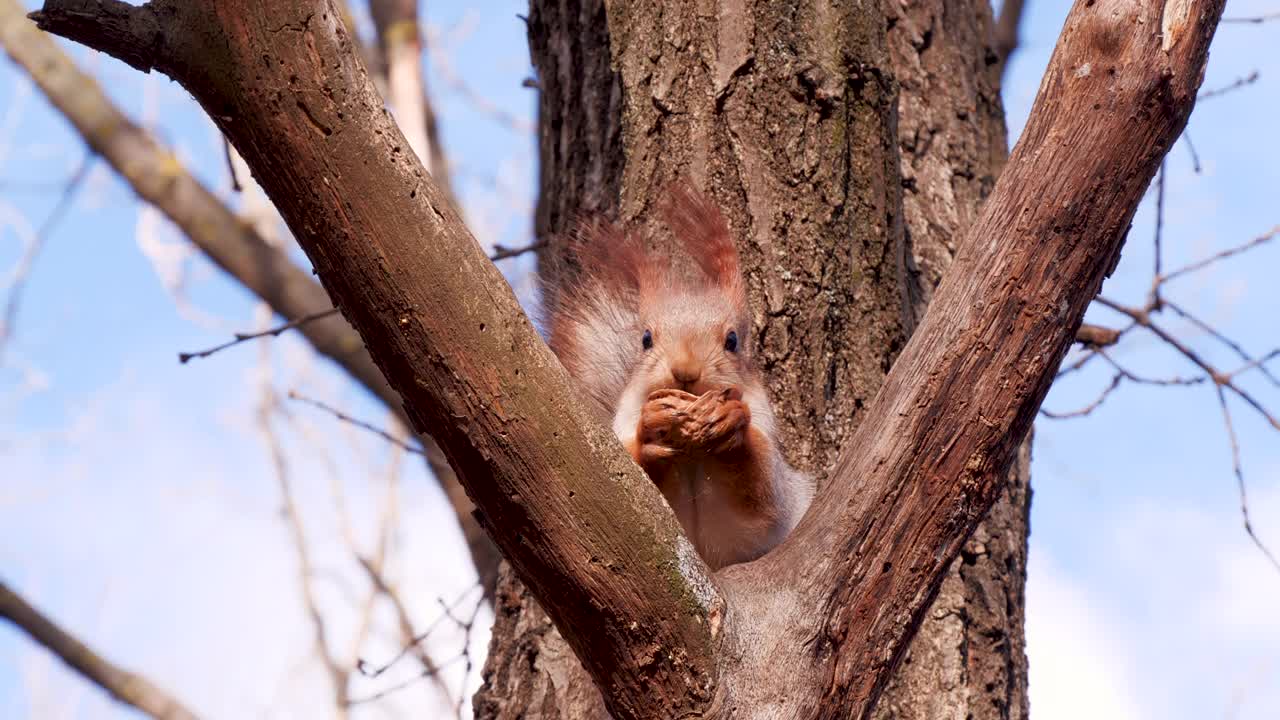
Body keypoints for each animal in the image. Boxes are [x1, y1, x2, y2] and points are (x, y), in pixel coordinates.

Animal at [547, 188, 808, 568]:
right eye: (645, 339)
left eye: (732, 340)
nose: (685, 371)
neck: (692, 452)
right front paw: (652, 428)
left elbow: (763, 495)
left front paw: (732, 423)